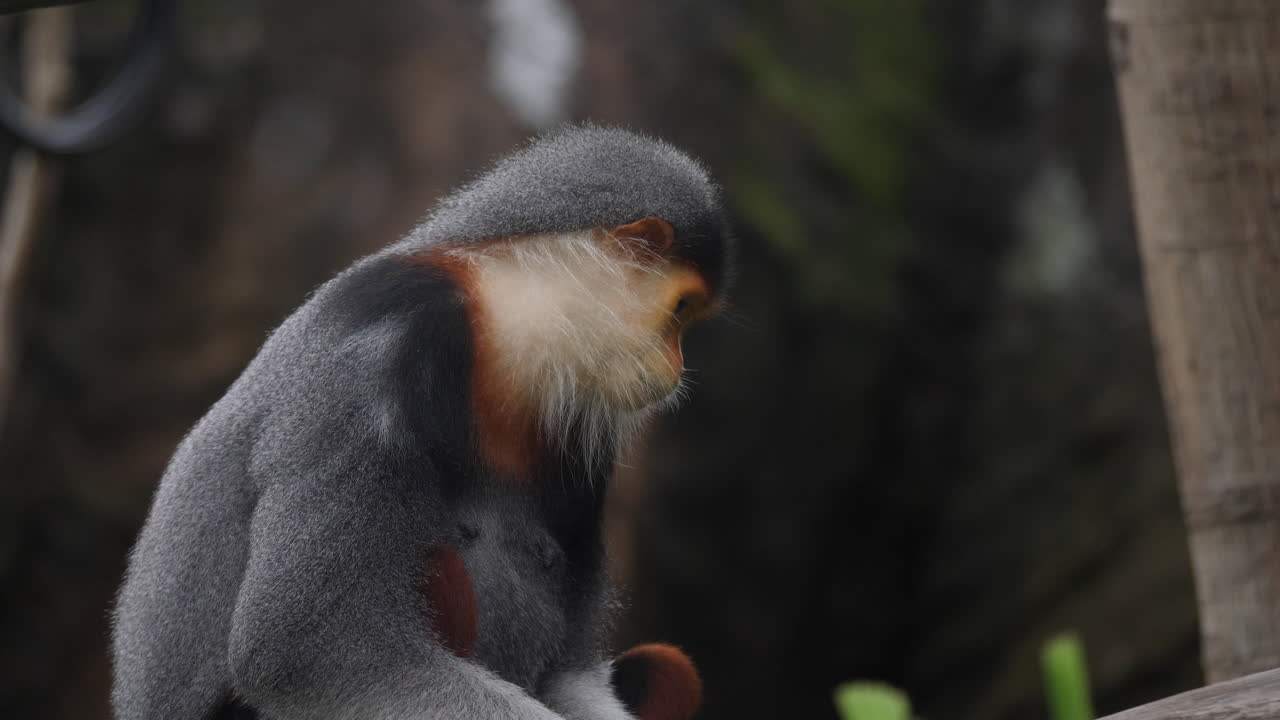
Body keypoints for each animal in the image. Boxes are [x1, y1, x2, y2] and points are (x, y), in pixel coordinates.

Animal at [110, 124, 731, 720]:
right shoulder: (386, 339)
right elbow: (306, 651)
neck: (494, 334)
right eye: (678, 313)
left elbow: (568, 674)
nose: (676, 366)